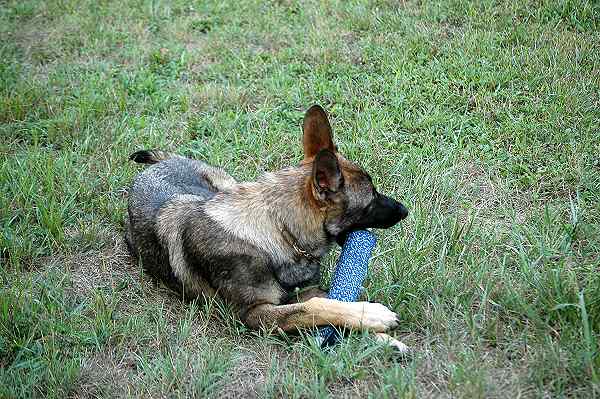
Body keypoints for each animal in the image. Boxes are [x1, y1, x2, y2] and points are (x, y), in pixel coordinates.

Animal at [124, 104, 410, 352]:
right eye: (371, 200)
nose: (405, 211)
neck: (277, 231)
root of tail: (158, 166)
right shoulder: (255, 313)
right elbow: (316, 308)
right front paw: (372, 315)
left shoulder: (303, 291)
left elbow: (331, 299)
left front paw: (381, 336)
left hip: (228, 184)